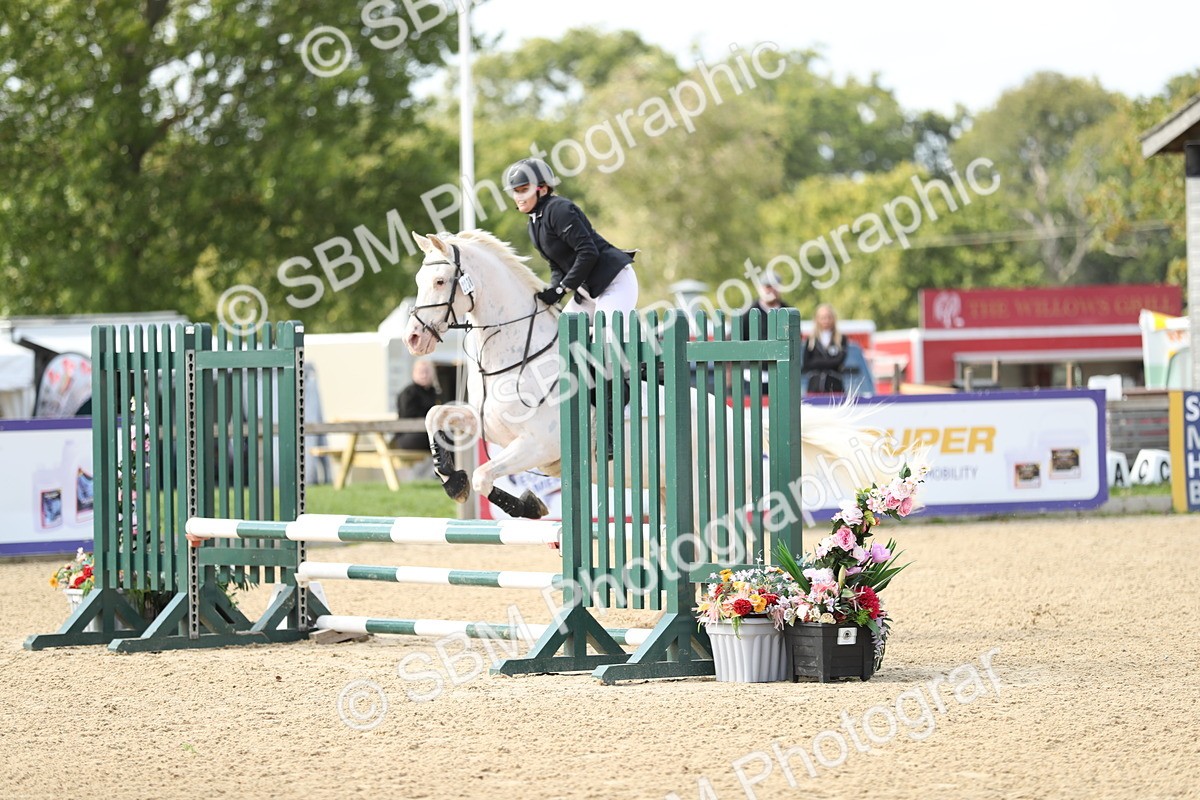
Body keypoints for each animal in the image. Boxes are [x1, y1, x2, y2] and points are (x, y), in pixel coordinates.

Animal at [403, 230, 906, 520]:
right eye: (419, 281)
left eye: (441, 282)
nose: (413, 339)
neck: (515, 354)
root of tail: (746, 419)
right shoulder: (489, 425)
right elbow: (435, 417)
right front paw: (449, 476)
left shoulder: (537, 446)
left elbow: (486, 477)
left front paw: (527, 505)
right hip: (665, 491)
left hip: (709, 496)